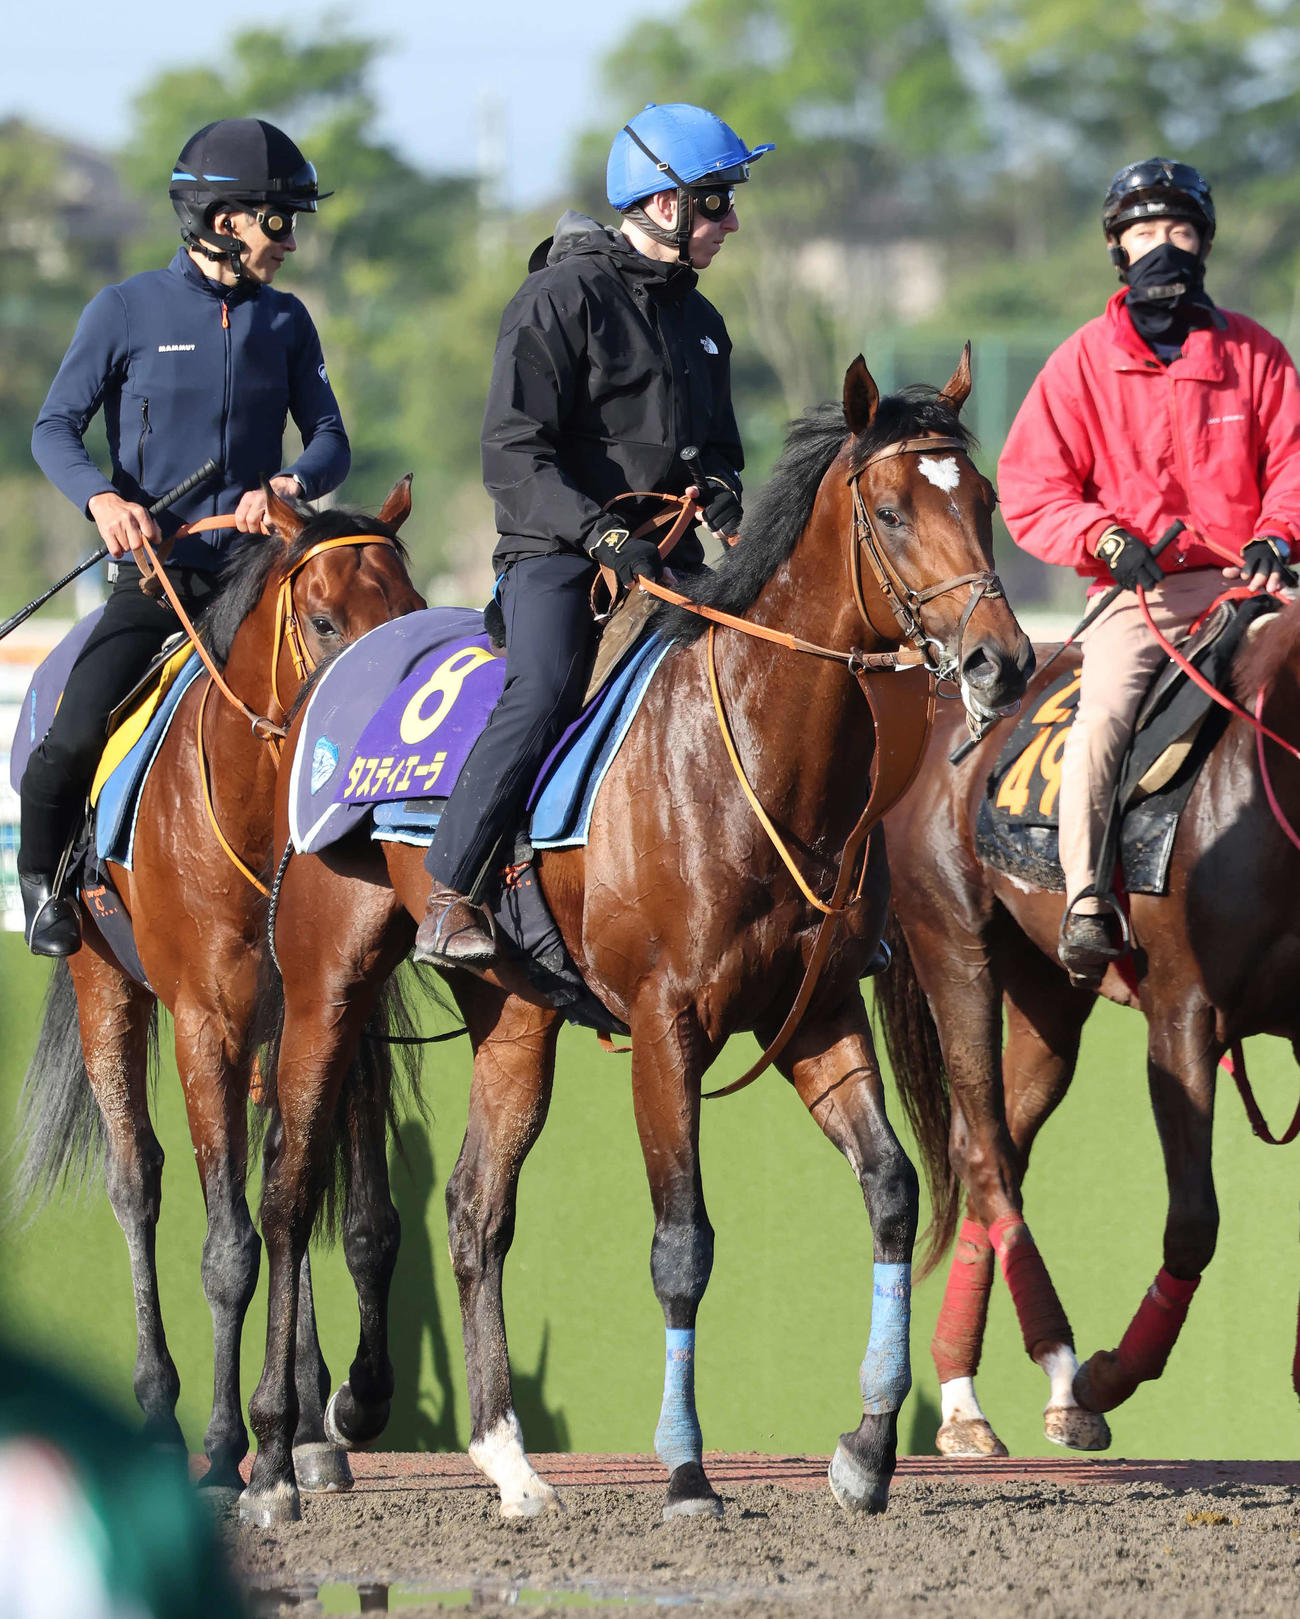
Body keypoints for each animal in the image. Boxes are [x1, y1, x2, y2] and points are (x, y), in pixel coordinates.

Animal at [14, 480, 425, 1492]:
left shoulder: (338, 1010)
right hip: (104, 986)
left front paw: (344, 1402)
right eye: (324, 619)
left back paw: (310, 1425)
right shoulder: (210, 1021)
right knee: (137, 1181)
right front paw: (224, 1444)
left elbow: (353, 1215)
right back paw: (164, 1415)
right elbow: (230, 1243)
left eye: (411, 611)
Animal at [238, 350, 1034, 1528]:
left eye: (981, 501)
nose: (1000, 661)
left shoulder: (816, 1014)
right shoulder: (667, 1026)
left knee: (474, 1209)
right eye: (892, 510)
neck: (740, 752)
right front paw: (688, 1468)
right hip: (324, 983)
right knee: (289, 1192)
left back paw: (508, 1461)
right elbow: (681, 1244)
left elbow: (891, 1192)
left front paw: (866, 1446)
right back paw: (277, 1456)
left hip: (514, 1012)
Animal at [876, 600, 1300, 1459]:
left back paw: (968, 1398)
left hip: (1050, 996)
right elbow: (1193, 1221)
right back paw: (1052, 1375)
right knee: (983, 1150)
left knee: (997, 1143)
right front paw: (1107, 1375)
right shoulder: (1184, 1015)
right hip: (954, 942)